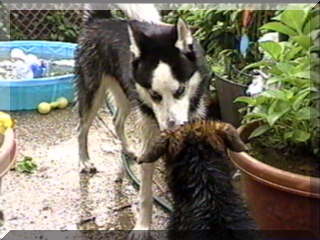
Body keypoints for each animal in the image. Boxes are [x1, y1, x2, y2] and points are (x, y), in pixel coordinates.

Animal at [75, 3, 212, 235]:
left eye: (180, 90)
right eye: (155, 95)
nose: (171, 130)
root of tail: (100, 19)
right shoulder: (150, 134)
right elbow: (145, 194)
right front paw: (142, 227)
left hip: (127, 95)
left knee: (117, 120)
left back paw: (128, 150)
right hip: (94, 93)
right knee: (81, 128)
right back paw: (85, 160)